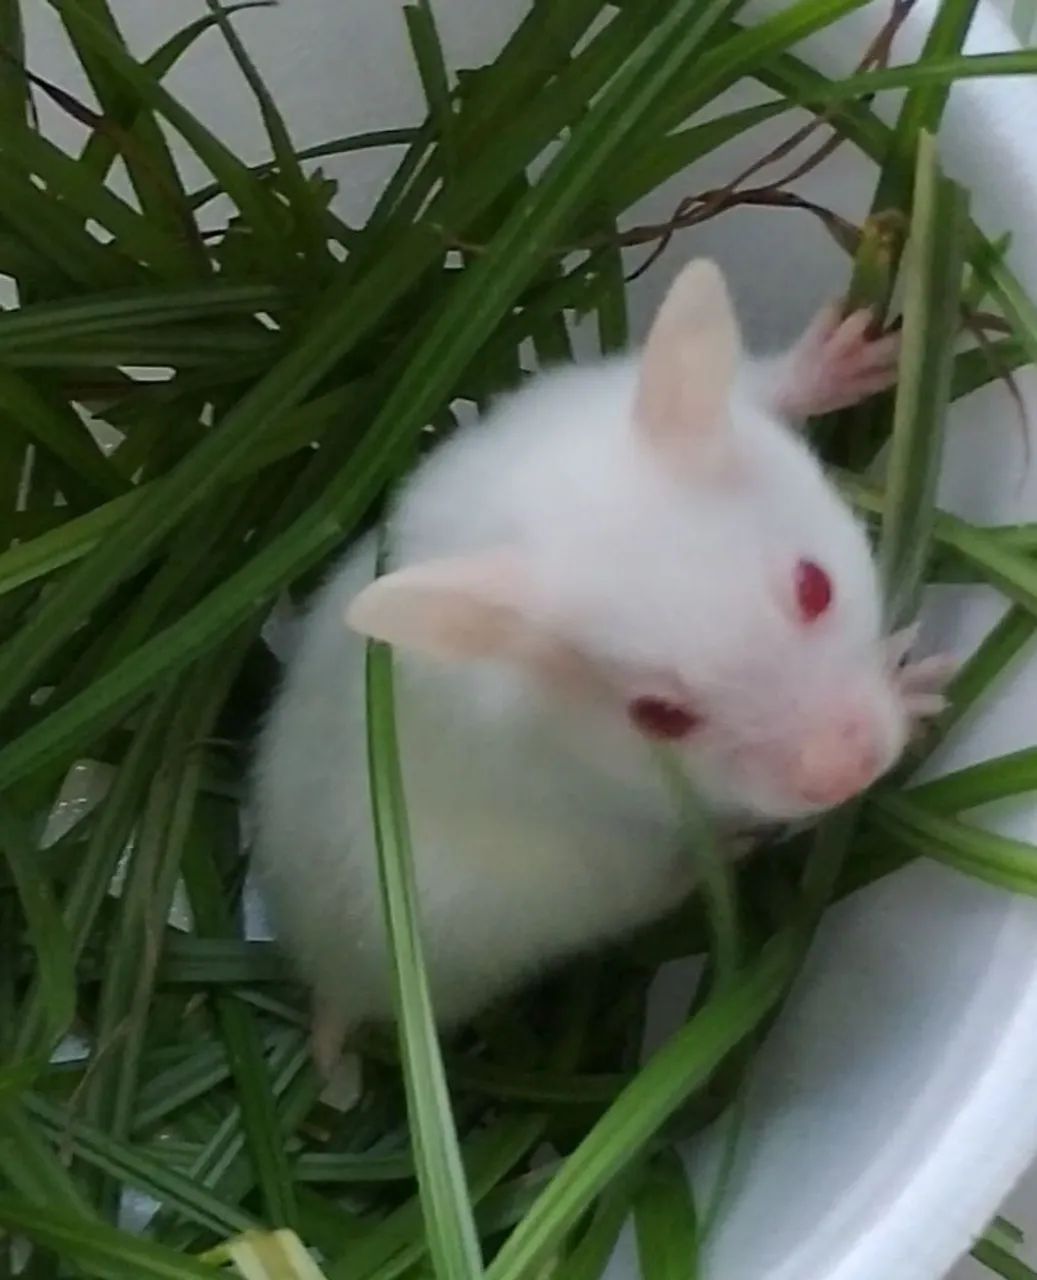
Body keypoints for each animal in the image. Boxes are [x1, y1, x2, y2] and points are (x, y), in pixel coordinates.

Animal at [251, 259, 950, 1071]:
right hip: (574, 891)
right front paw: (921, 686)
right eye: (657, 717)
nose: (851, 773)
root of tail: (327, 979)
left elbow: (771, 383)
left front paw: (865, 349)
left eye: (816, 587)